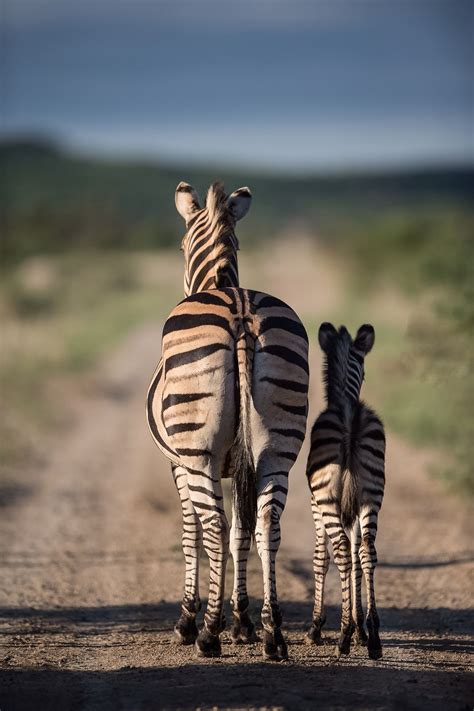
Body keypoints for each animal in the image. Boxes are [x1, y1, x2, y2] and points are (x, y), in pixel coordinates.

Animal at [148, 181, 312, 660]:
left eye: (180, 245)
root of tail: (240, 311)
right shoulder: (243, 462)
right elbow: (244, 530)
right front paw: (243, 622)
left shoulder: (178, 463)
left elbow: (192, 533)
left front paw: (192, 620)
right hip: (277, 451)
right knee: (267, 526)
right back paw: (273, 634)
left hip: (198, 452)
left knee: (214, 529)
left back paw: (206, 634)